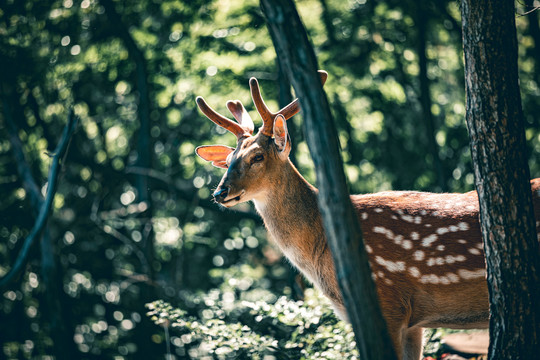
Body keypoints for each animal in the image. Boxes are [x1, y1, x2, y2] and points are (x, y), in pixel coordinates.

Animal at [195, 71, 540, 360]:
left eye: (257, 157)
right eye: (229, 159)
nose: (220, 192)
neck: (322, 251)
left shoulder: (389, 303)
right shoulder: (414, 321)